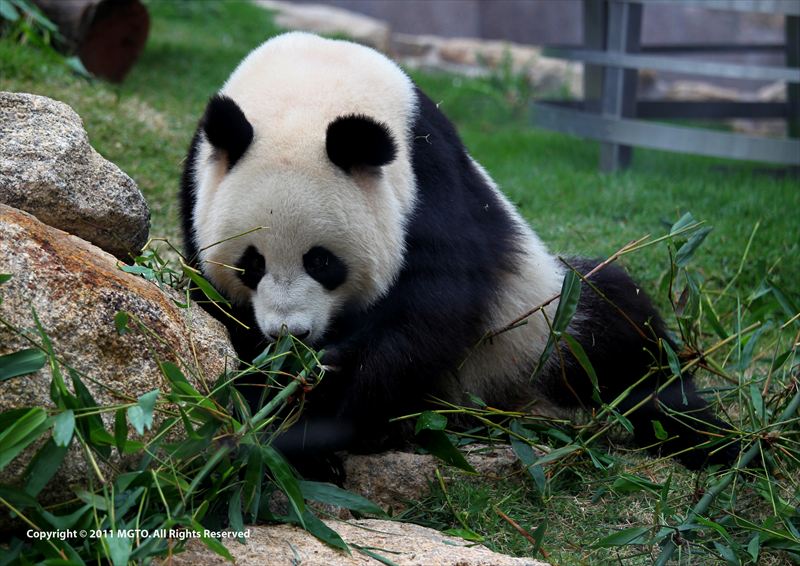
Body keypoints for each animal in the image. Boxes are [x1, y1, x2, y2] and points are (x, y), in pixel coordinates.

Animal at [181, 31, 736, 470]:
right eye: (252, 264)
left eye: (322, 262)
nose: (289, 334)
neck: (311, 85)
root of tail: (498, 402)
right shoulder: (197, 181)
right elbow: (216, 307)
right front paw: (273, 399)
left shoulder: (426, 172)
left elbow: (433, 306)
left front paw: (318, 401)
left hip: (542, 326)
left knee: (623, 337)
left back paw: (709, 440)